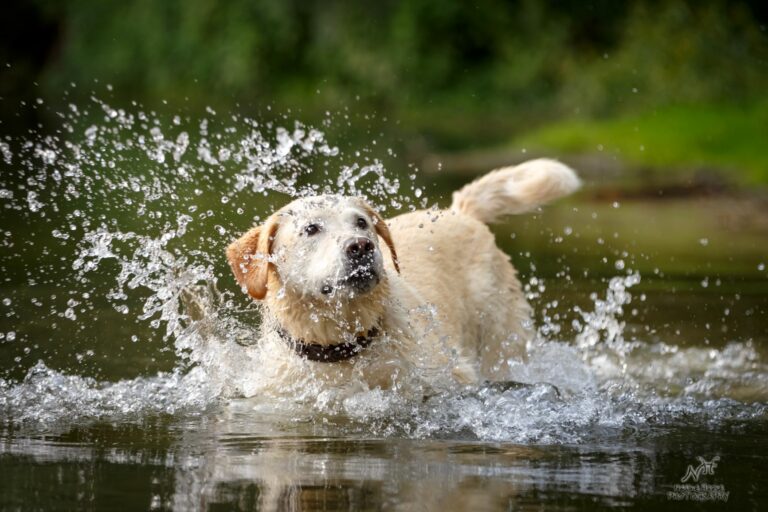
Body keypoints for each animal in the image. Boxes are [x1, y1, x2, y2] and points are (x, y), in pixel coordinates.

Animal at [225, 159, 580, 396]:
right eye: (311, 229)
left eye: (362, 223)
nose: (361, 246)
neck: (341, 343)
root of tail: (461, 212)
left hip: (502, 342)